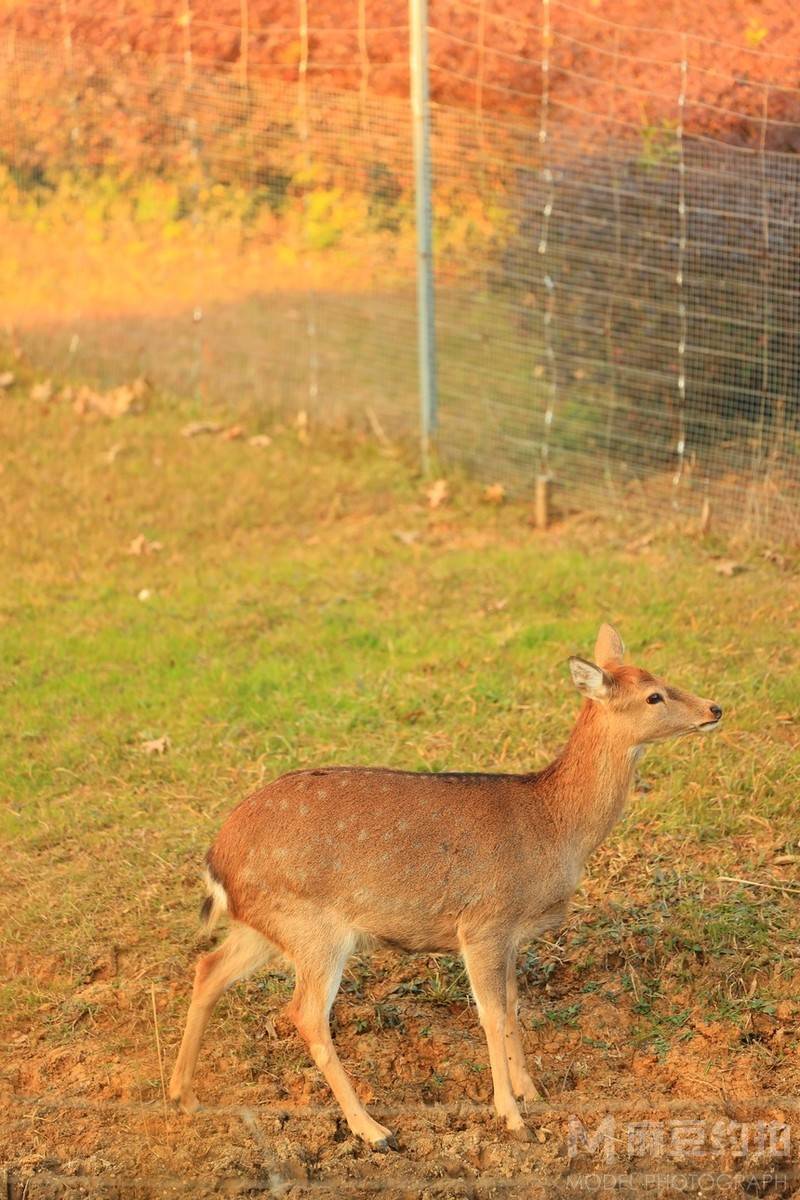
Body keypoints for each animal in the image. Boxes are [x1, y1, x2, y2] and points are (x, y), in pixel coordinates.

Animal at [167, 624, 719, 1147]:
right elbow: (491, 1014)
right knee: (305, 1014)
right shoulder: (484, 923)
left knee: (209, 968)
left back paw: (184, 1096)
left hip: (267, 925)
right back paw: (373, 1130)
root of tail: (217, 859)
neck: (554, 825)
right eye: (653, 695)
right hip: (314, 928)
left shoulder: (510, 936)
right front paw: (514, 1119)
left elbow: (514, 1006)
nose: (714, 707)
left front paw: (533, 1091)